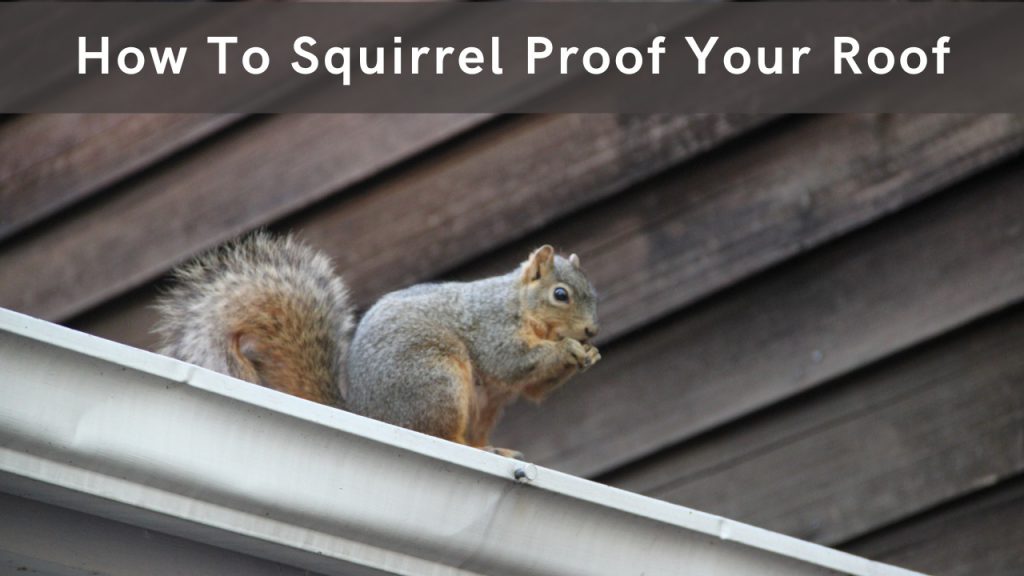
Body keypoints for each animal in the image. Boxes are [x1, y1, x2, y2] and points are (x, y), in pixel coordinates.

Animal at [155, 233, 601, 458]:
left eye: (594, 293)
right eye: (561, 294)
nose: (592, 331)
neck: (519, 305)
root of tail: (368, 413)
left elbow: (533, 388)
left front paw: (589, 356)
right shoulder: (491, 326)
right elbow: (512, 362)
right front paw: (568, 350)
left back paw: (495, 450)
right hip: (436, 381)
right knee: (440, 434)